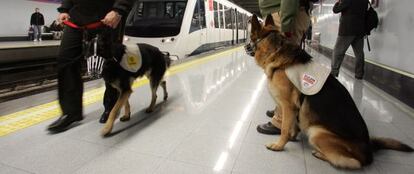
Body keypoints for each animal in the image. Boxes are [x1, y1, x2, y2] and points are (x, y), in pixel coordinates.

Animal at [247, 14, 412, 169]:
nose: (246, 46)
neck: (276, 50)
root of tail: (369, 150)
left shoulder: (288, 106)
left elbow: (284, 129)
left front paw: (279, 145)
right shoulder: (293, 110)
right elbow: (292, 127)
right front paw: (292, 138)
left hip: (316, 132)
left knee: (352, 162)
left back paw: (321, 154)